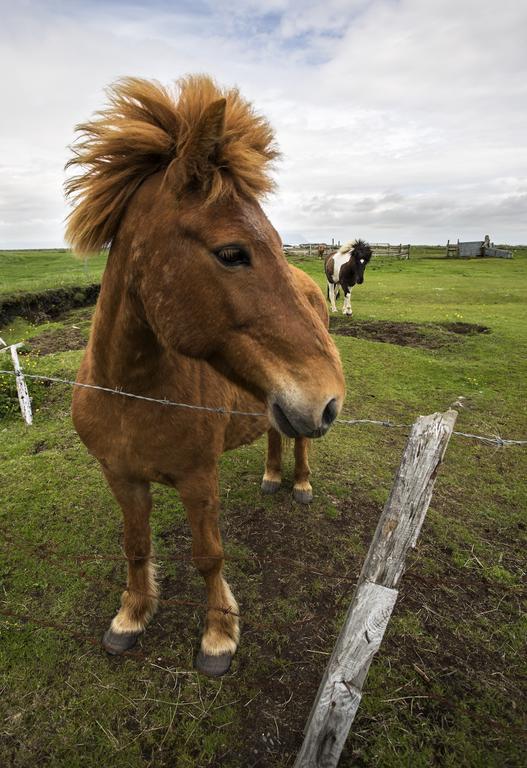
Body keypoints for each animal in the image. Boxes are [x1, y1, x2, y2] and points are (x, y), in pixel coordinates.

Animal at [65, 76, 346, 680]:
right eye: (232, 252)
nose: (329, 399)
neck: (130, 392)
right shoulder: (120, 477)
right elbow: (136, 545)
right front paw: (132, 615)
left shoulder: (199, 480)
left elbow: (208, 555)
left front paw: (219, 635)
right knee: (277, 433)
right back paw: (271, 476)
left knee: (300, 445)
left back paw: (299, 484)